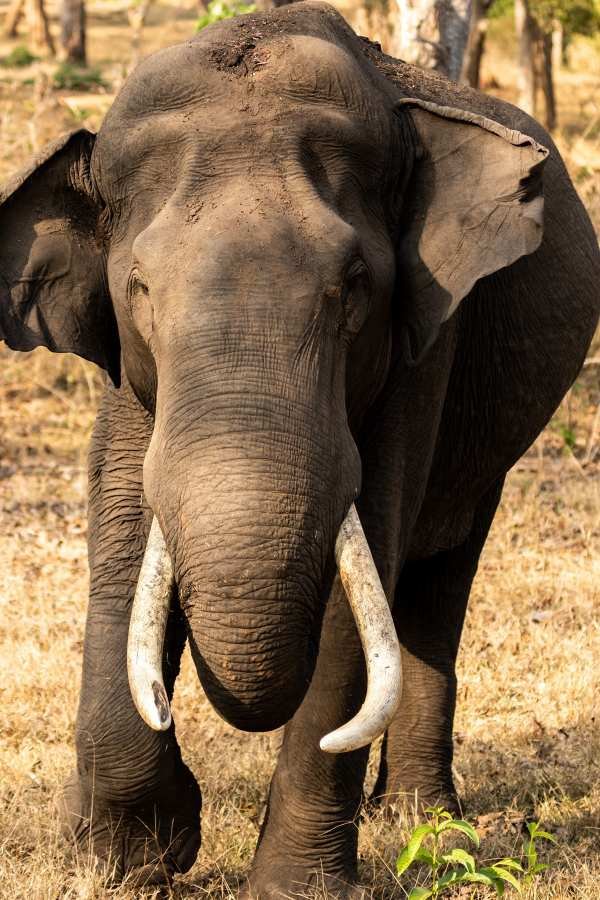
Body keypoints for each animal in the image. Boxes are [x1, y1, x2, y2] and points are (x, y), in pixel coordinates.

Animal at [1, 1, 598, 896]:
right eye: (138, 288)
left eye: (354, 286)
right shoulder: (123, 371)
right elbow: (120, 540)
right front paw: (124, 859)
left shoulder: (426, 339)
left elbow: (366, 566)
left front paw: (290, 886)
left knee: (438, 580)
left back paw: (422, 822)